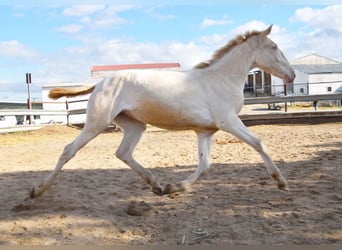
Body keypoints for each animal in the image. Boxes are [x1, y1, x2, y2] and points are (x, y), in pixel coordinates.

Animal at [30, 24, 296, 198]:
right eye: (274, 46)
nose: (292, 75)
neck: (220, 79)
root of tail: (101, 82)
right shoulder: (228, 121)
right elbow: (258, 142)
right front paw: (281, 182)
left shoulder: (206, 131)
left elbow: (205, 163)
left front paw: (175, 187)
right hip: (97, 123)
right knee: (68, 151)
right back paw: (37, 191)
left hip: (135, 125)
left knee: (123, 153)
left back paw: (156, 185)